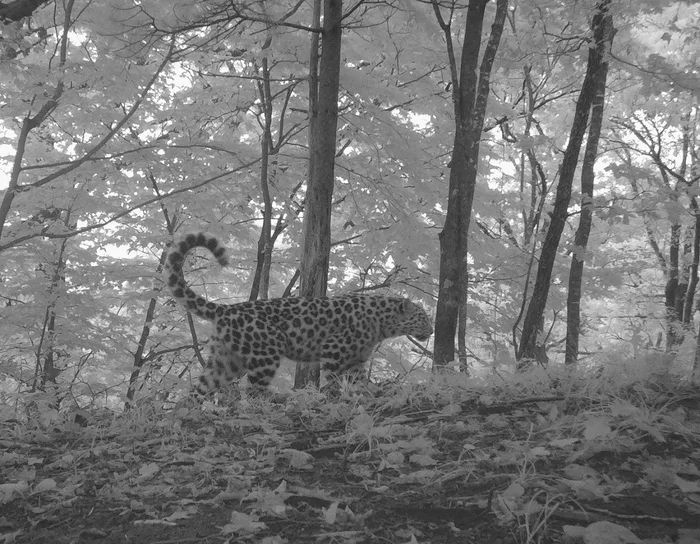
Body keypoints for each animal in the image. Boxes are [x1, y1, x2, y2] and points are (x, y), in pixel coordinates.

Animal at [166, 232, 434, 394]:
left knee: (199, 390)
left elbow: (358, 382)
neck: (382, 324)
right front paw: (332, 397)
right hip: (266, 355)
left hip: (226, 361)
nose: (431, 331)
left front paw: (368, 394)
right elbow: (332, 378)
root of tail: (227, 309)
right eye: (423, 318)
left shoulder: (357, 360)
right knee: (252, 391)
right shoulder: (334, 350)